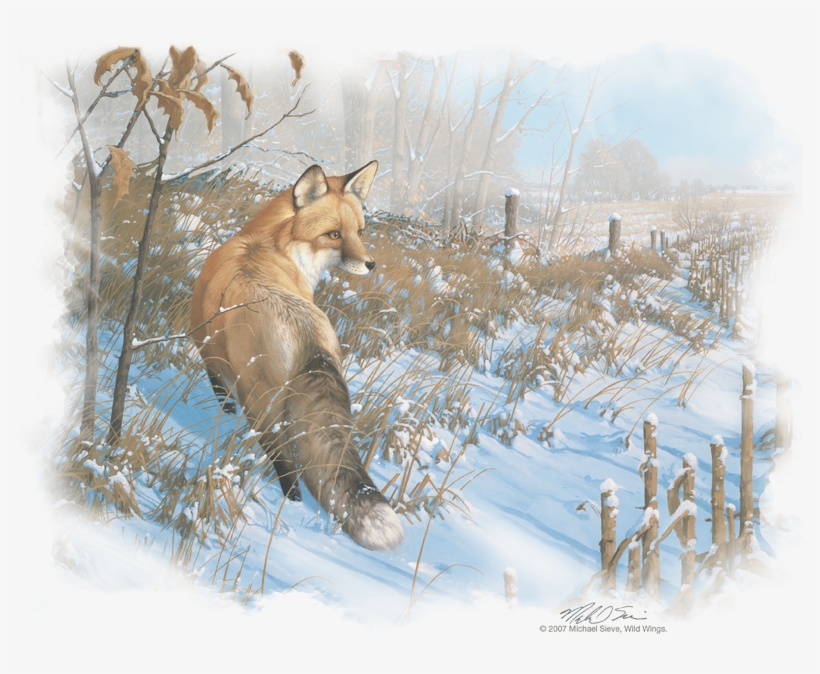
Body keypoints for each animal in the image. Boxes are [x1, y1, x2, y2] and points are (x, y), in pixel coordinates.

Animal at [189, 161, 404, 551]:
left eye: (359, 231)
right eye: (334, 234)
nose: (371, 264)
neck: (269, 245)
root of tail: (305, 333)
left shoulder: (206, 346)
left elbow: (217, 385)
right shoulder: (205, 346)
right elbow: (216, 384)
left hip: (262, 405)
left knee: (283, 458)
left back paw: (290, 502)